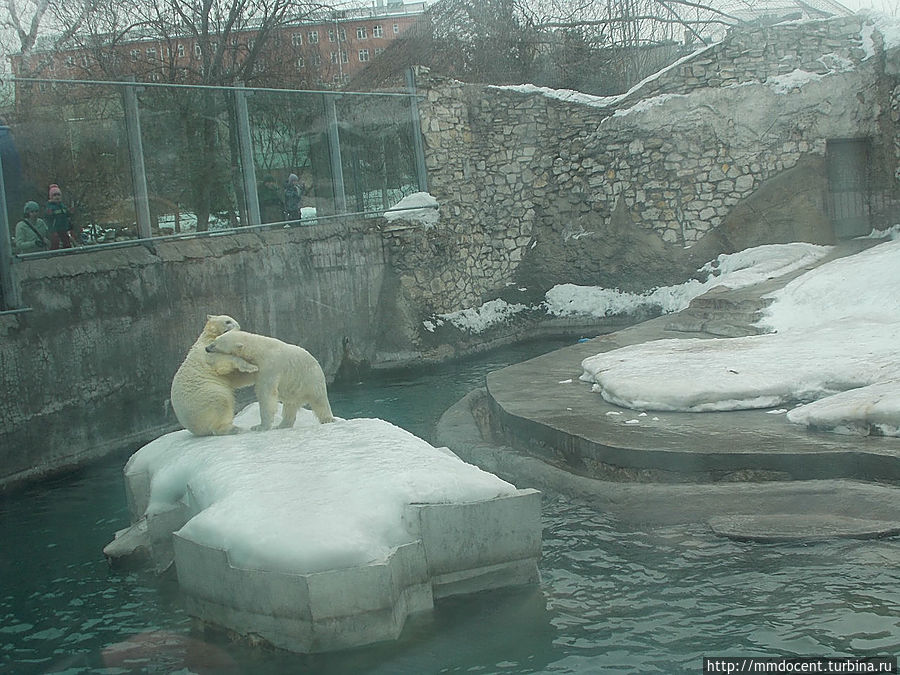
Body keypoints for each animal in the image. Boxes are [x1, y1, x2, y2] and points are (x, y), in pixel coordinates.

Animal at [206, 330, 336, 430]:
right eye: (214, 340)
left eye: (215, 344)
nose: (207, 348)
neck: (258, 349)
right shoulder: (257, 366)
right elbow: (245, 377)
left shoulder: (270, 366)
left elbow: (266, 394)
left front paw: (260, 427)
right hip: (294, 390)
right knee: (290, 407)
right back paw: (282, 425)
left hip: (310, 380)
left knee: (319, 401)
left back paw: (328, 419)